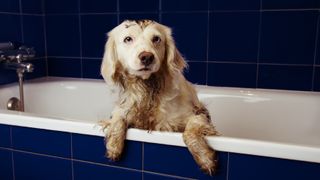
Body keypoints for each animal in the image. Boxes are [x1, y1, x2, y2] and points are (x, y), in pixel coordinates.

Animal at [100, 20, 218, 176]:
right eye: (128, 39)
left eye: (156, 39)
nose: (146, 57)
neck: (148, 88)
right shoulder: (124, 108)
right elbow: (118, 119)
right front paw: (114, 146)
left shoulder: (198, 114)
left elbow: (190, 132)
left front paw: (205, 158)